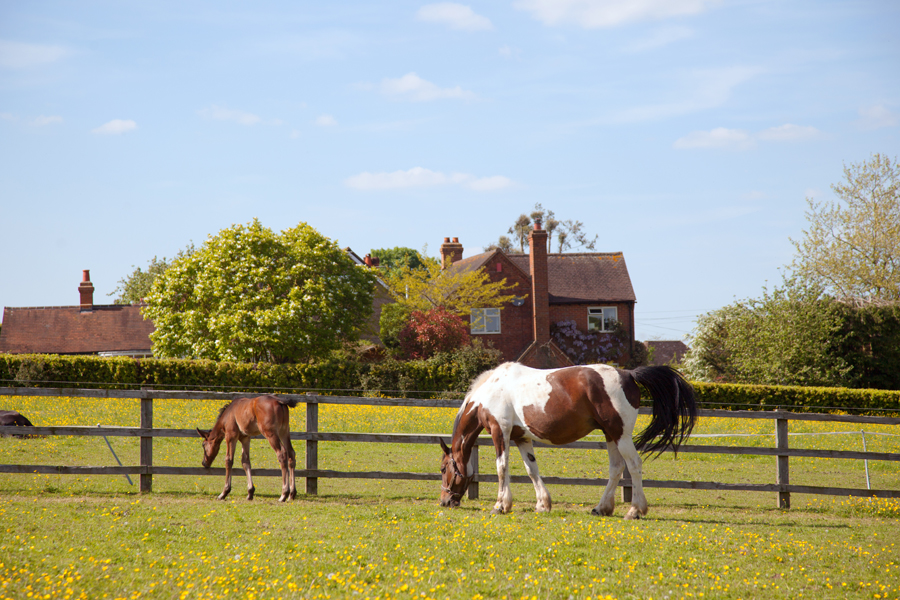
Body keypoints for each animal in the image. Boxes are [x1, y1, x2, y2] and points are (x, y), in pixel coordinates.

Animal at [439, 362, 697, 519]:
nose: (444, 501)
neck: (490, 390)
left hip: (620, 435)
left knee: (634, 466)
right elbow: (531, 470)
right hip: (610, 435)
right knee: (616, 469)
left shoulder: (499, 431)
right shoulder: (521, 438)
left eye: (443, 469)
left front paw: (500, 505)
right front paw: (542, 504)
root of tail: (628, 374)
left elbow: (502, 468)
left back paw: (635, 510)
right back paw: (602, 508)